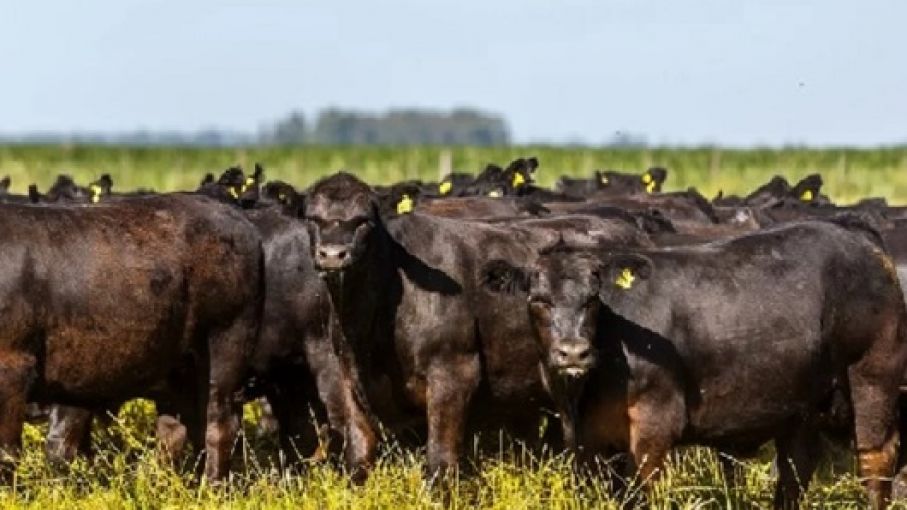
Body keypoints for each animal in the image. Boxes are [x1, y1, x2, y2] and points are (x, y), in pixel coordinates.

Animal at [0, 195, 262, 482]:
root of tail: (235, 217)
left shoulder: (12, 365)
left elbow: (6, 449)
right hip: (177, 365)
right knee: (178, 426)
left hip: (226, 342)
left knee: (219, 423)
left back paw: (211, 485)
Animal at [482, 216, 907, 510]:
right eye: (538, 299)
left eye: (592, 297)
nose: (572, 352)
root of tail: (855, 236)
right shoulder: (588, 441)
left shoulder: (654, 427)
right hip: (801, 408)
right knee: (795, 470)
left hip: (871, 378)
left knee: (875, 459)